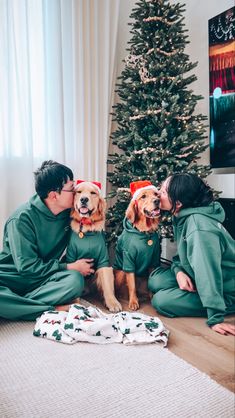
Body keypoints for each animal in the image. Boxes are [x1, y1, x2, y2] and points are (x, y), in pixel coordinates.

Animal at [65, 181, 122, 312]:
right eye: (79, 192)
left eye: (93, 193)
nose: (84, 199)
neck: (87, 230)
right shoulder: (72, 257)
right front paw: (75, 303)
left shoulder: (103, 260)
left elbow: (107, 285)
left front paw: (112, 302)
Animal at [113, 180, 161, 310]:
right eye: (143, 196)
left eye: (156, 194)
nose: (157, 201)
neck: (145, 232)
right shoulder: (128, 259)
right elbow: (132, 286)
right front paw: (133, 302)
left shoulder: (154, 259)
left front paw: (152, 296)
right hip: (121, 272)